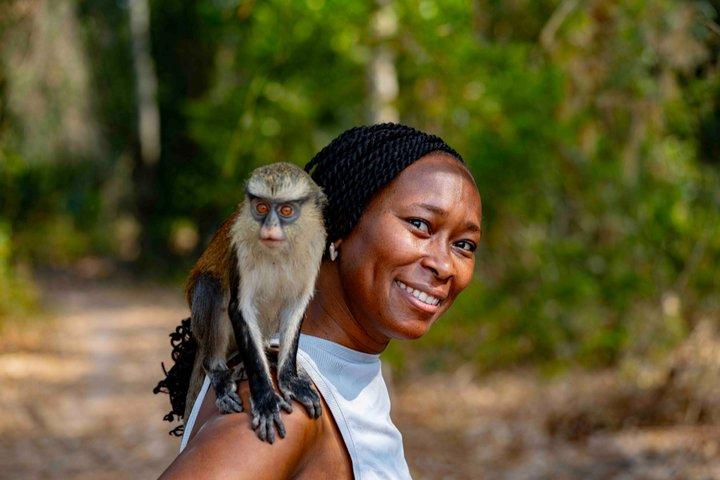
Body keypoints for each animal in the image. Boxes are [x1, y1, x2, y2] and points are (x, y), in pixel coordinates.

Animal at [184, 162, 327, 443]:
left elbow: (296, 307)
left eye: (285, 210)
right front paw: (265, 401)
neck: (279, 252)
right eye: (261, 207)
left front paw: (289, 379)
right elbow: (240, 308)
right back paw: (219, 370)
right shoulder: (239, 251)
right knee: (210, 286)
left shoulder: (315, 249)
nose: (268, 228)